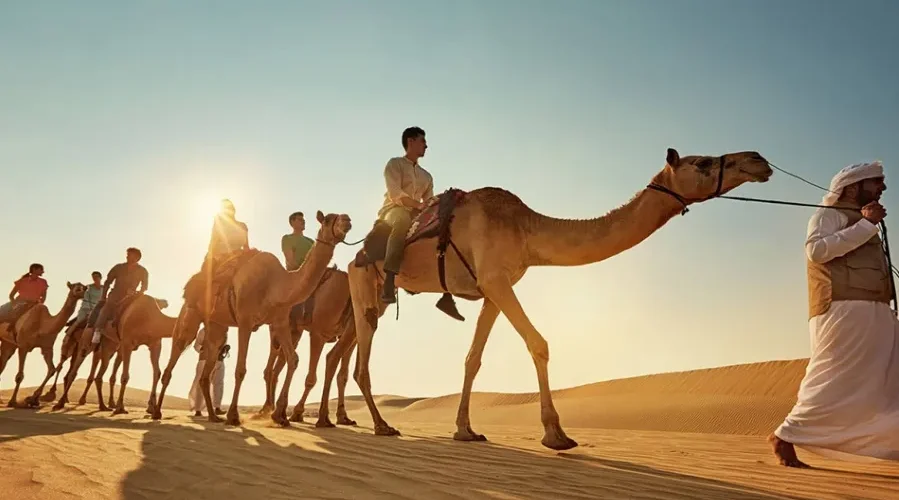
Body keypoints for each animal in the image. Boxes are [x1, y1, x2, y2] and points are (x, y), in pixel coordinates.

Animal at [256, 265, 358, 425]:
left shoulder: (350, 336)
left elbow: (343, 375)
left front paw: (343, 417)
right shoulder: (318, 333)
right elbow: (311, 378)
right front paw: (297, 413)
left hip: (294, 332)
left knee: (279, 365)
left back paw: (274, 409)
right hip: (279, 329)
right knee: (271, 365)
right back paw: (268, 408)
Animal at [312, 148, 774, 451]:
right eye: (703, 162)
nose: (758, 159)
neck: (525, 228)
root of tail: (355, 251)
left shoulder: (493, 289)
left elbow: (473, 359)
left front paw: (465, 430)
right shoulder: (498, 280)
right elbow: (539, 343)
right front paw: (556, 434)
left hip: (370, 296)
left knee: (345, 352)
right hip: (363, 284)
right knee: (360, 357)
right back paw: (380, 426)